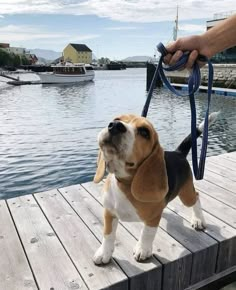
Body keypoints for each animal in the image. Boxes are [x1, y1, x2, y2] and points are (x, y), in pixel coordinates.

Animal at [92, 112, 218, 264]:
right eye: (117, 119)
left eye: (144, 132)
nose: (115, 125)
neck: (125, 183)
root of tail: (178, 153)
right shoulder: (109, 212)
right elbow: (108, 234)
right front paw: (104, 253)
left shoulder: (152, 219)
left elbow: (147, 233)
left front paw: (143, 250)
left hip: (186, 194)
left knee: (196, 197)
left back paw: (198, 220)